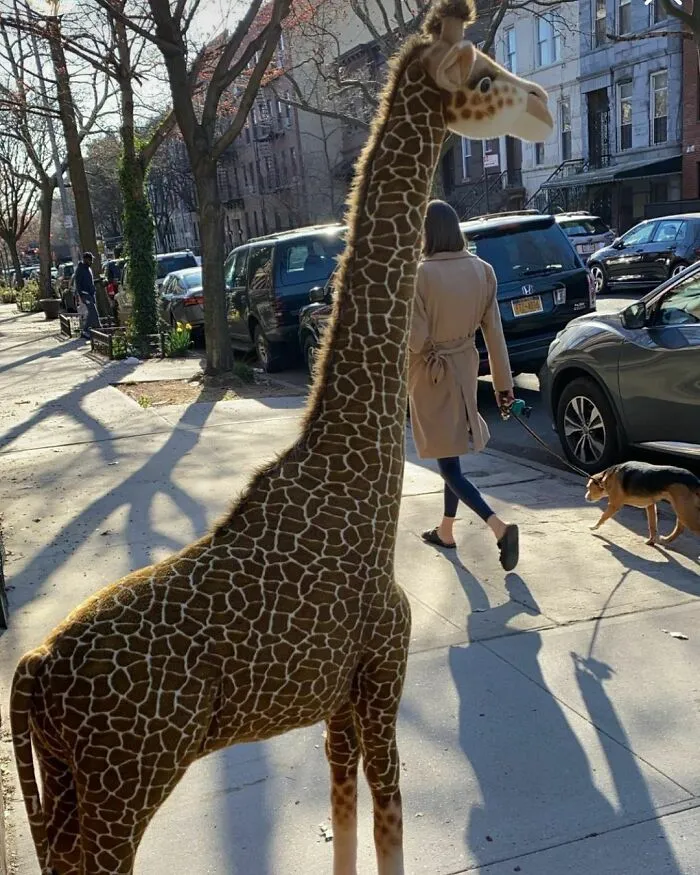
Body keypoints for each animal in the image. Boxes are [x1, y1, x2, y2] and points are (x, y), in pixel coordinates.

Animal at [10, 3, 553, 874]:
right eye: (481, 75)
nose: (544, 107)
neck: (361, 488)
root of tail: (32, 667)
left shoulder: (335, 702)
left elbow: (345, 816)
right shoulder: (382, 678)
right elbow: (389, 825)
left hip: (67, 785)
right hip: (126, 782)